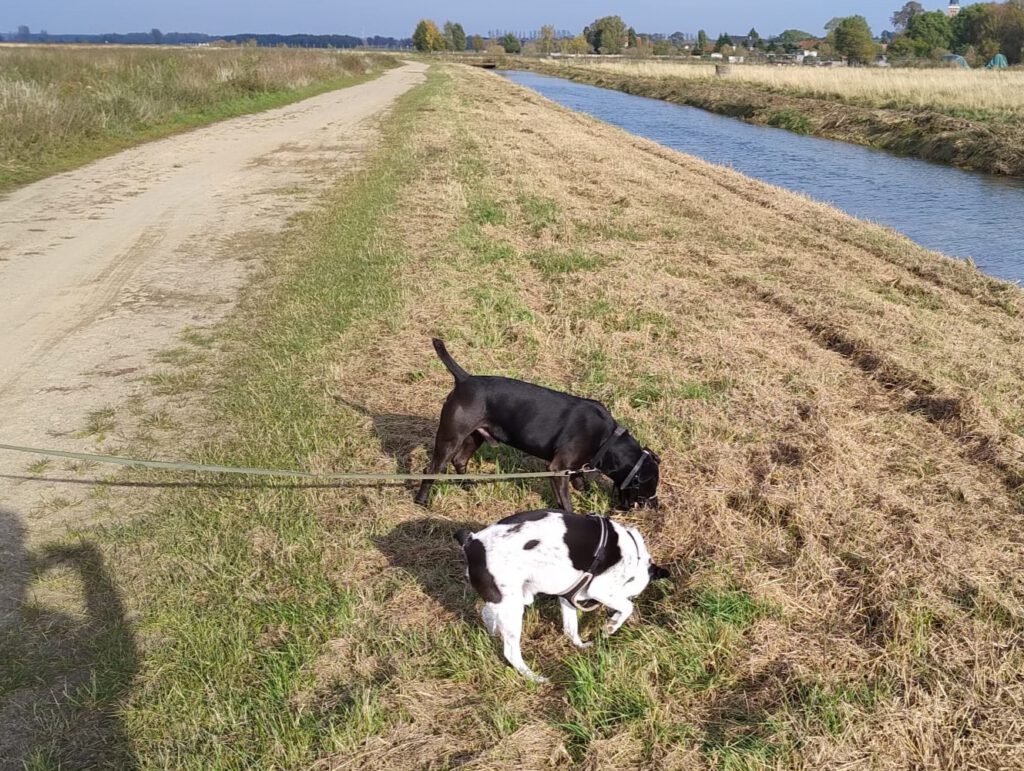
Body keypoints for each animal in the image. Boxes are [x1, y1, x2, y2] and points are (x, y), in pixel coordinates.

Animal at [411, 339, 659, 514]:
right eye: (649, 488)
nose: (656, 506)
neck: (607, 438)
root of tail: (464, 379)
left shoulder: (574, 467)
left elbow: (580, 484)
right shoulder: (558, 468)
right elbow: (566, 501)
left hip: (476, 436)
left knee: (460, 461)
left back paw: (469, 486)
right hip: (450, 437)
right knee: (432, 469)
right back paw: (422, 501)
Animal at [452, 511, 667, 679]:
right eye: (633, 595)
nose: (609, 614)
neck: (635, 557)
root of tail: (471, 542)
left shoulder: (568, 596)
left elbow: (571, 628)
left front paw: (580, 645)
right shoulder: (600, 589)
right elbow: (627, 608)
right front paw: (610, 628)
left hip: (505, 599)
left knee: (486, 613)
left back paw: (493, 633)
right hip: (513, 609)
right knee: (511, 652)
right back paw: (534, 677)